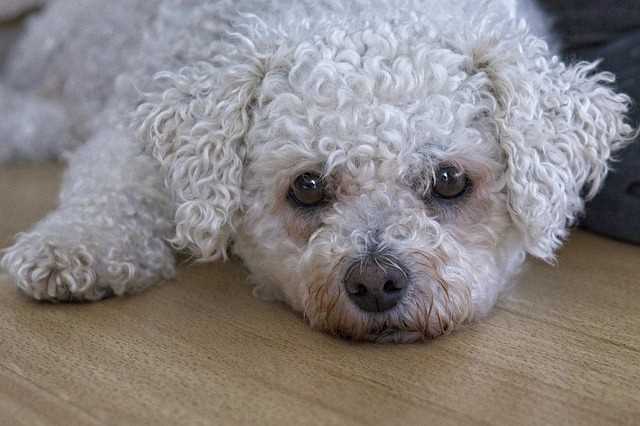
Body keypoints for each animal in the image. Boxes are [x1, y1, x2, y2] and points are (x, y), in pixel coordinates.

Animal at [0, 0, 632, 340]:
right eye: (307, 187)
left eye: (450, 181)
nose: (375, 281)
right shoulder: (129, 119)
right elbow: (109, 183)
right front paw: (74, 246)